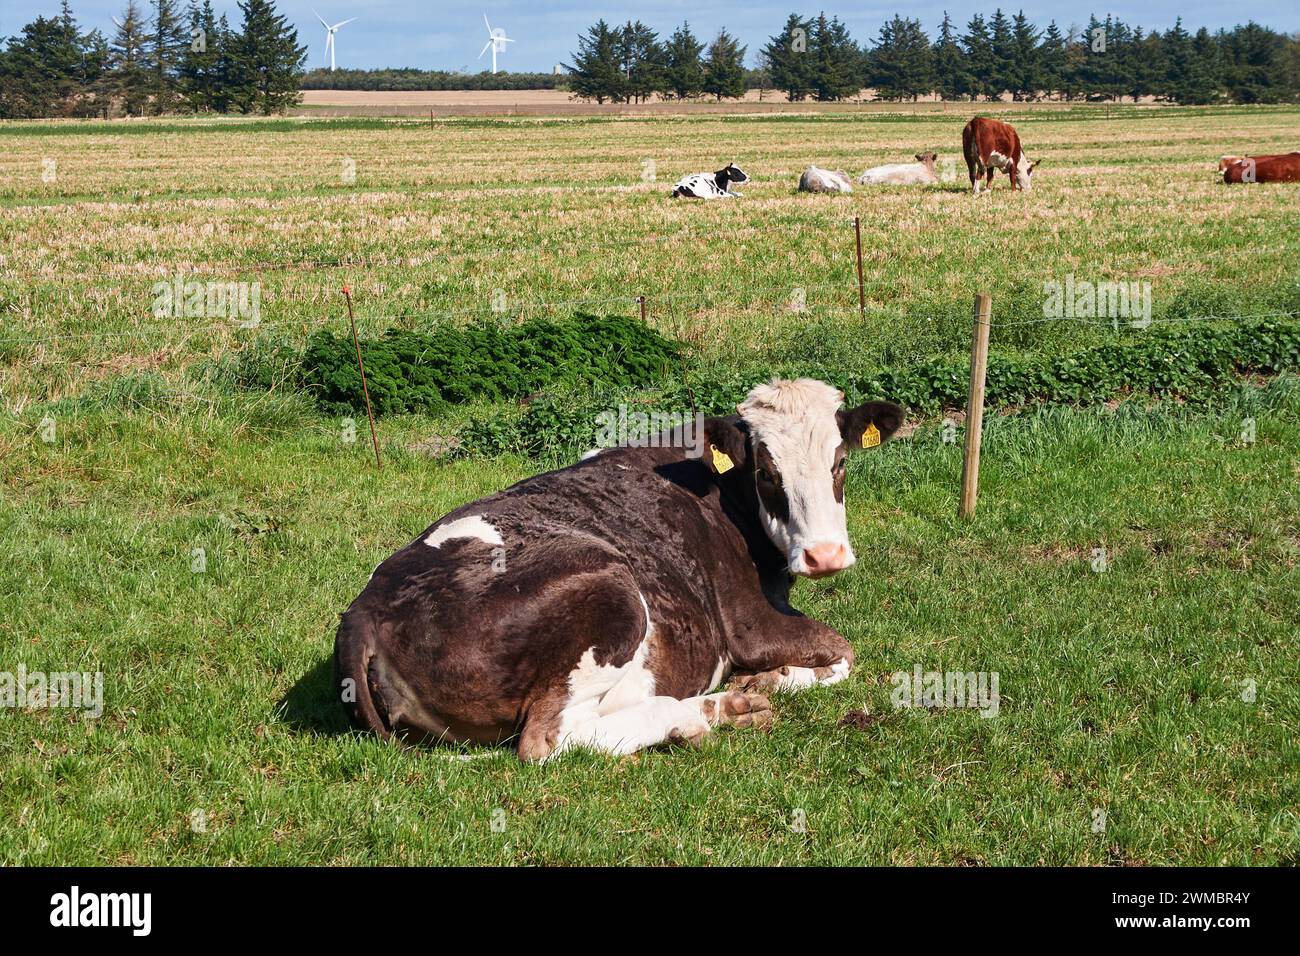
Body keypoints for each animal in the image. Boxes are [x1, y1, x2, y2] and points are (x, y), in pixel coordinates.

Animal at [335, 378, 905, 761]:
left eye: (839, 463)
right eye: (766, 472)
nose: (825, 555)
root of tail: (363, 612)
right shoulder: (750, 624)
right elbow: (844, 654)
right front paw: (775, 676)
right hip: (614, 594)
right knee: (547, 740)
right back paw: (699, 716)